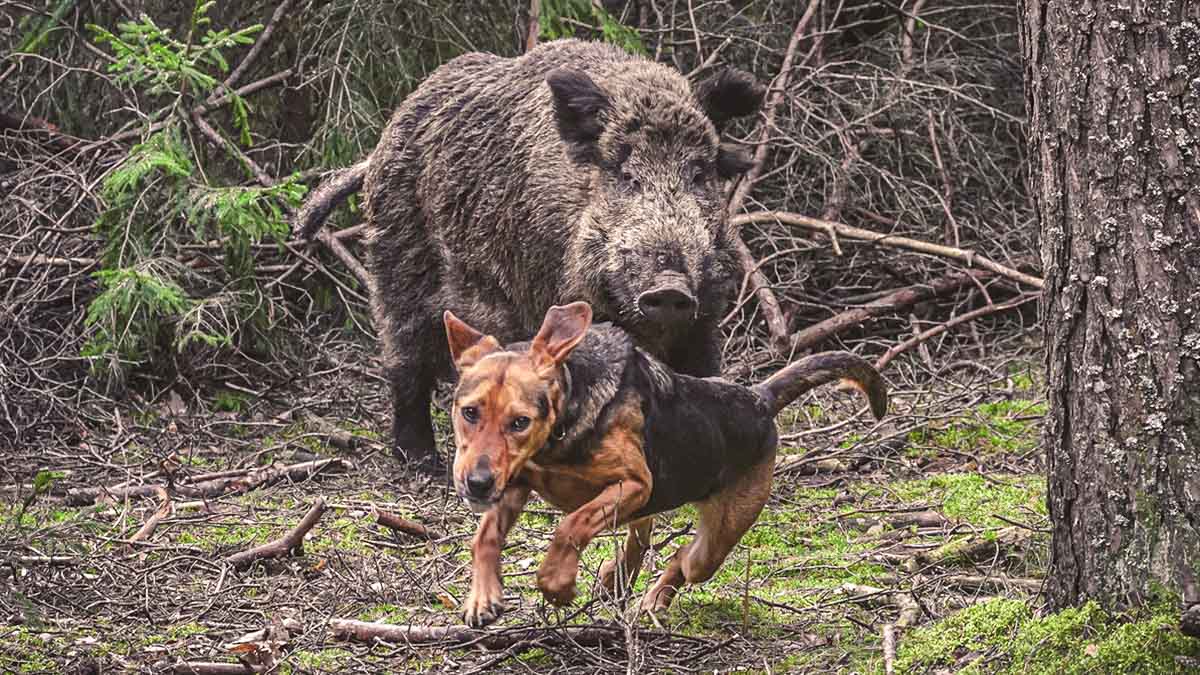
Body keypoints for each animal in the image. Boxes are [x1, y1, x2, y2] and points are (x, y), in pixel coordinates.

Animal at [446, 299, 888, 624]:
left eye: (520, 422)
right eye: (469, 413)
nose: (477, 484)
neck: (562, 428)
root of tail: (758, 399)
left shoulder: (634, 483)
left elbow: (571, 525)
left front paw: (557, 583)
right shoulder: (516, 482)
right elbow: (485, 536)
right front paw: (482, 598)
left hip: (715, 536)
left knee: (683, 560)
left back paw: (655, 596)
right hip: (645, 507)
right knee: (640, 539)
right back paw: (615, 577)